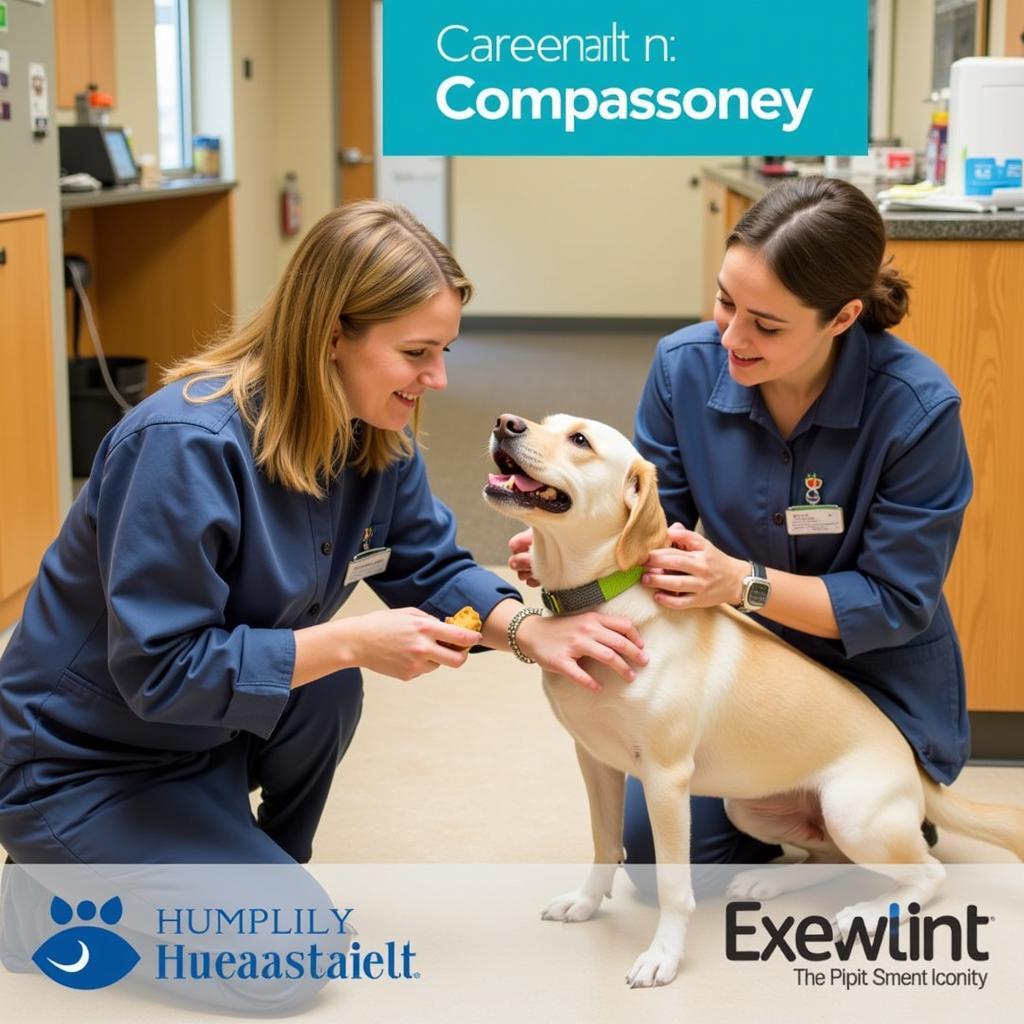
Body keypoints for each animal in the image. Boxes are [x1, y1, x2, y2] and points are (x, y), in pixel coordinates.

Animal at [481, 411, 1024, 987]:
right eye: (546, 422)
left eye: (580, 440)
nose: (506, 423)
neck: (602, 598)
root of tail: (914, 765)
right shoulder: (595, 761)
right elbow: (605, 843)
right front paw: (585, 903)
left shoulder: (665, 780)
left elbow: (674, 886)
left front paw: (663, 955)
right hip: (750, 808)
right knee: (831, 859)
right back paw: (769, 884)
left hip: (851, 813)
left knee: (929, 873)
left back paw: (870, 913)